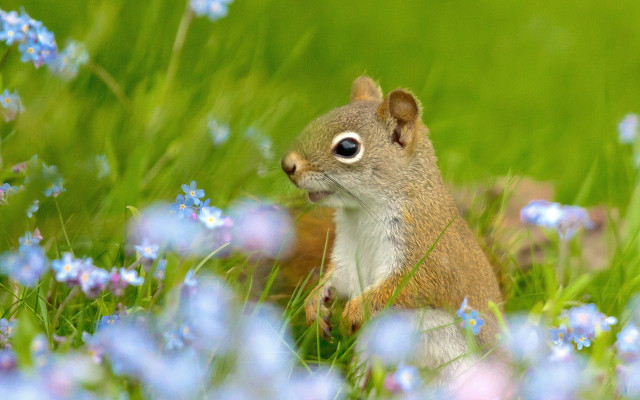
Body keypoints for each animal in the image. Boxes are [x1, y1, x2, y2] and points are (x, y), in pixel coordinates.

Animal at [280, 76, 503, 377]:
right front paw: (315, 303)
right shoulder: (349, 254)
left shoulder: (427, 249)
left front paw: (355, 310)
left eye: (348, 148)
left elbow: (409, 286)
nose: (287, 165)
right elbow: (339, 278)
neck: (362, 213)